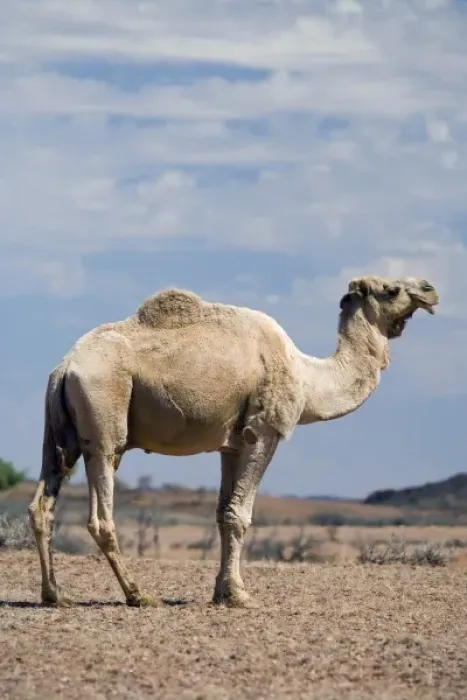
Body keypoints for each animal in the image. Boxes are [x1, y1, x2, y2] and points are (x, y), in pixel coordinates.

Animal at [28, 274, 439, 608]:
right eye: (392, 288)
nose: (430, 289)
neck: (307, 377)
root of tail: (65, 367)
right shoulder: (263, 431)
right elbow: (240, 515)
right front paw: (241, 595)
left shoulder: (232, 443)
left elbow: (223, 514)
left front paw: (221, 592)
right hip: (104, 413)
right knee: (101, 512)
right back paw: (138, 595)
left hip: (57, 432)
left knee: (42, 503)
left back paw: (55, 595)